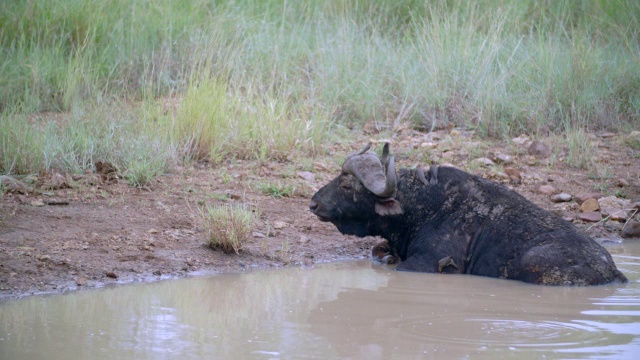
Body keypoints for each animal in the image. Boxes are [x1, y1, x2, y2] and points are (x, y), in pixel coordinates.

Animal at [308, 142, 628, 286]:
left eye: (346, 184)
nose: (313, 204)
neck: (421, 206)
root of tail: (612, 270)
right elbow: (378, 251)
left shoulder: (427, 263)